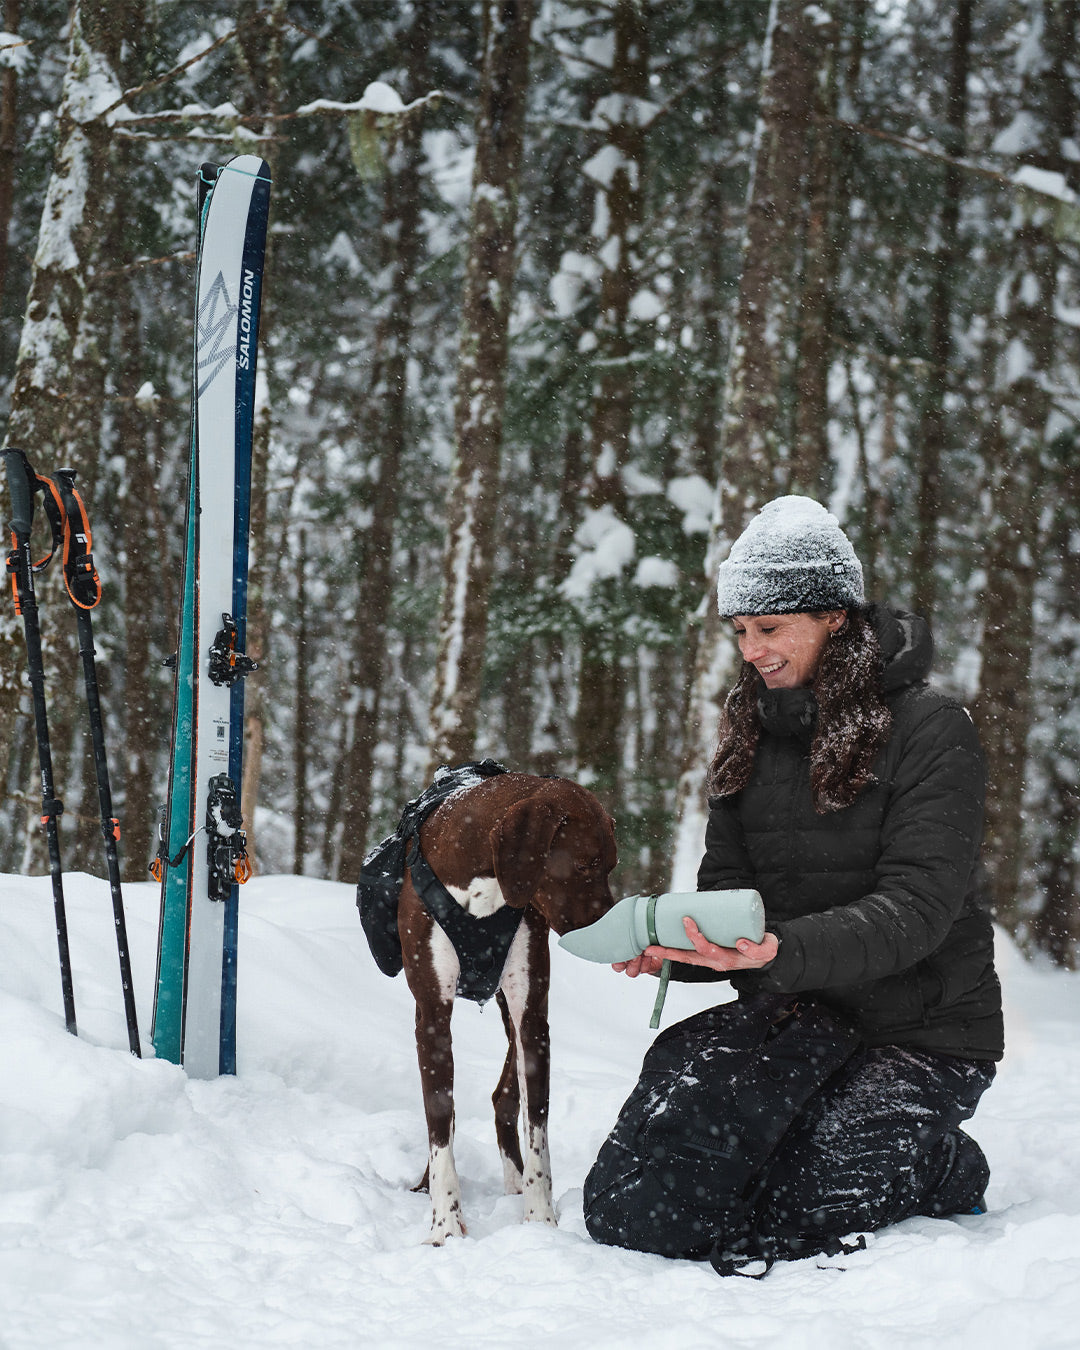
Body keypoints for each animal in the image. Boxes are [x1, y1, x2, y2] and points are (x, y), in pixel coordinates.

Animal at [396, 772, 615, 1242]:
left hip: (518, 1015)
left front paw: (540, 1220)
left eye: (610, 867)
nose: (609, 927)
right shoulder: (432, 1016)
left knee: (504, 1098)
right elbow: (439, 1121)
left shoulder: (532, 1016)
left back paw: (514, 1185)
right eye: (585, 864)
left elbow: (538, 1130)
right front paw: (445, 1226)